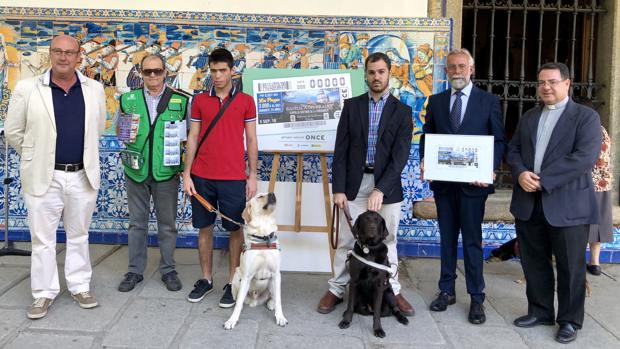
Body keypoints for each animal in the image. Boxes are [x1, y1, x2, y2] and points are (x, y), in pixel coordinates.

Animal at [225, 192, 288, 328]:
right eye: (260, 196)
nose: (272, 193)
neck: (264, 237)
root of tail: (254, 300)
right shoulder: (247, 276)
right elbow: (238, 302)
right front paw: (232, 320)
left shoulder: (276, 274)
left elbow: (279, 300)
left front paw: (280, 317)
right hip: (237, 275)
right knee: (238, 298)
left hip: (273, 282)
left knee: (273, 297)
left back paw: (271, 304)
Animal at [336, 209, 410, 338]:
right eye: (366, 219)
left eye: (377, 220)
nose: (372, 227)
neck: (369, 248)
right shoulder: (354, 281)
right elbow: (350, 305)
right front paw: (346, 321)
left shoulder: (379, 286)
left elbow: (376, 313)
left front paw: (378, 329)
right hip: (359, 295)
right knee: (354, 306)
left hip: (389, 293)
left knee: (394, 309)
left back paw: (402, 318)